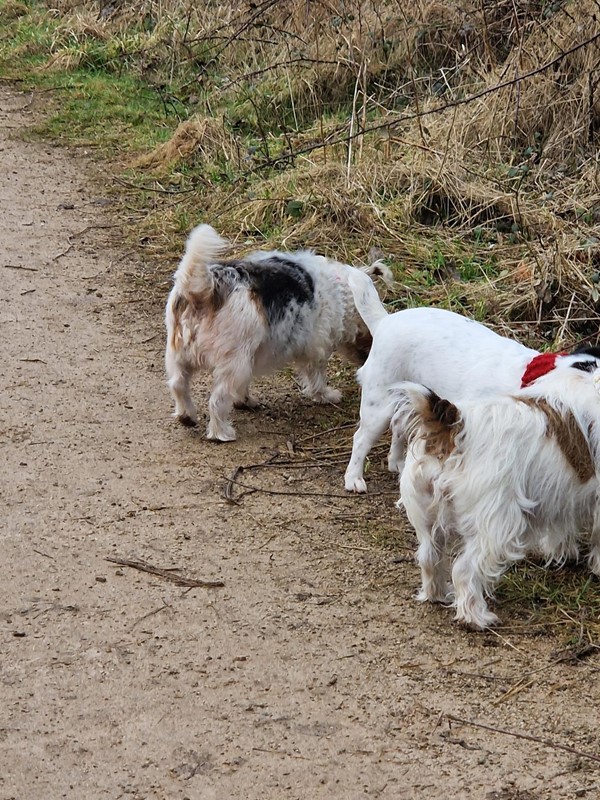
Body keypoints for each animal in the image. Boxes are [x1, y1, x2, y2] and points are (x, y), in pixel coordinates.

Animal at [163, 222, 394, 440]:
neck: (342, 290)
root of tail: (202, 290)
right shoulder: (316, 351)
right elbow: (317, 378)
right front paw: (327, 395)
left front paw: (244, 400)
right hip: (233, 364)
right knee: (217, 400)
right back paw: (222, 433)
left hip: (179, 357)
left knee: (178, 385)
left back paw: (186, 416)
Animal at [342, 268, 600, 494]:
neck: (527, 376)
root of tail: (383, 321)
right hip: (378, 406)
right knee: (361, 439)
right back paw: (354, 478)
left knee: (398, 425)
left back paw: (396, 462)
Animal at [392, 358, 600, 632]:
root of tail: (455, 425)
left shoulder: (560, 496)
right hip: (496, 525)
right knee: (464, 570)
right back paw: (476, 617)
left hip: (428, 520)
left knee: (429, 557)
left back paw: (438, 594)